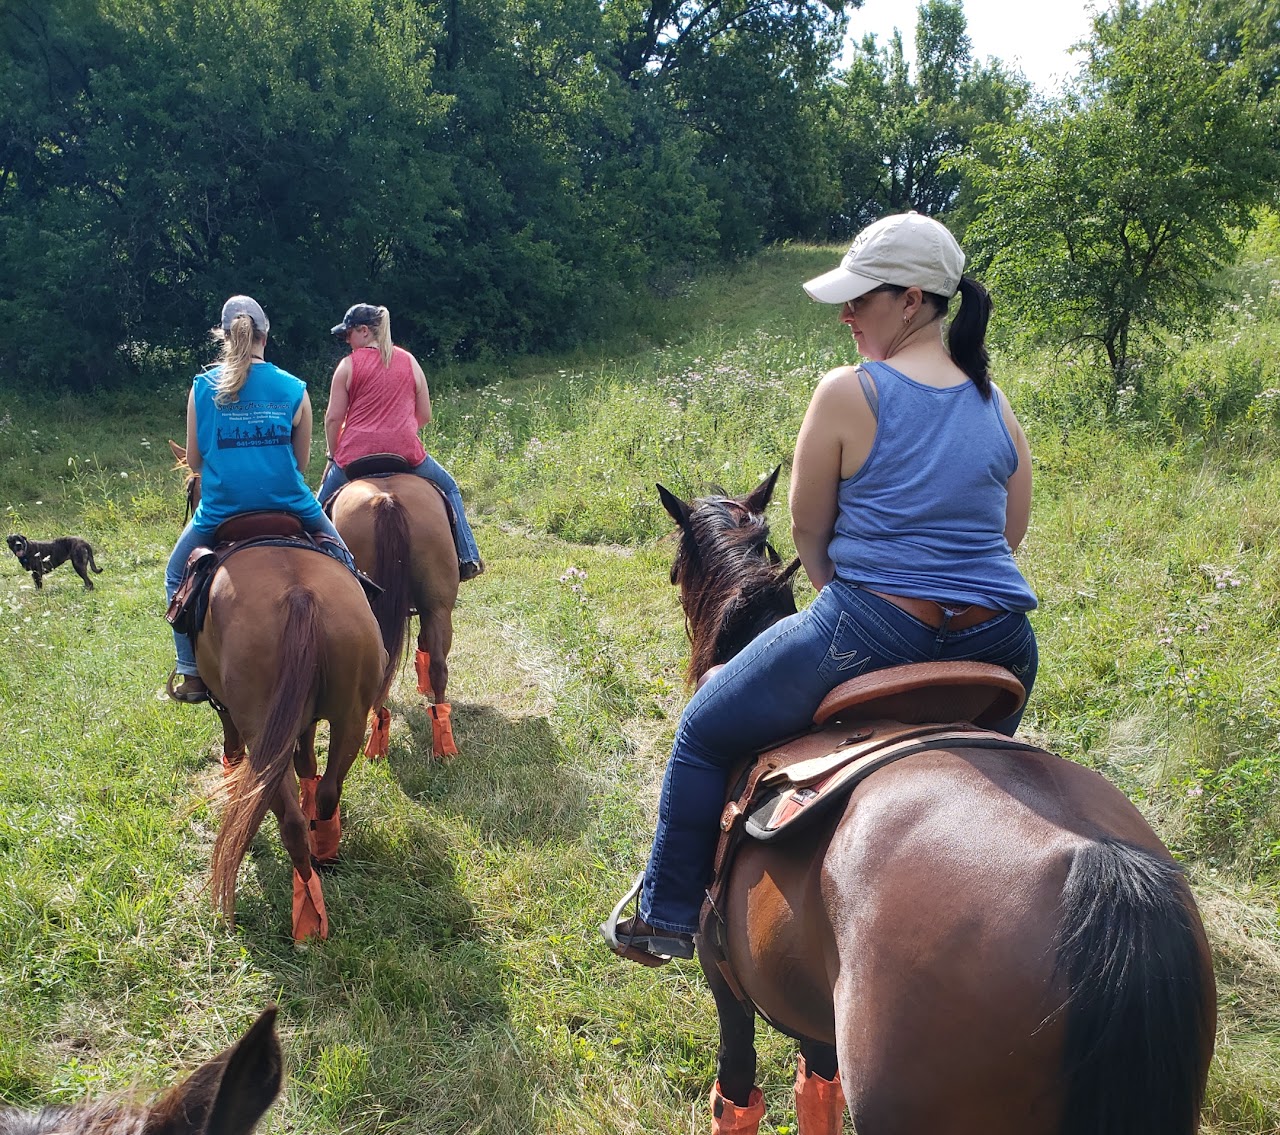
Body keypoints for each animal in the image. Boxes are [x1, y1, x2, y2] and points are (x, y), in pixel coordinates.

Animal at [172, 442, 386, 941]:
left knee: (282, 813)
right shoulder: (303, 719)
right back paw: (325, 850)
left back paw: (306, 905)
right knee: (328, 790)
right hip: (350, 717)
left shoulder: (229, 712)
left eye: (191, 490)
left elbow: (232, 754)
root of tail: (299, 595)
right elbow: (307, 761)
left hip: (262, 729)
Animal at [645, 470, 1213, 1135]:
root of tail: (1100, 866)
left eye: (676, 566)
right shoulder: (812, 1004)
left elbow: (735, 1093)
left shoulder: (726, 979)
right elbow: (817, 1087)